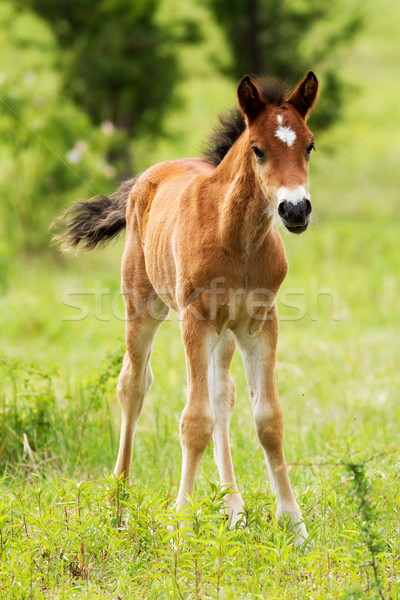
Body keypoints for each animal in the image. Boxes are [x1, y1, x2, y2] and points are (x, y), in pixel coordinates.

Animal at [55, 70, 318, 544]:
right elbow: (193, 421)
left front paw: (294, 525)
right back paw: (118, 506)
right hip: (144, 305)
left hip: (224, 334)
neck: (238, 238)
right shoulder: (194, 321)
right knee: (133, 385)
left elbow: (268, 420)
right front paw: (180, 522)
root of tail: (148, 175)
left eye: (309, 145)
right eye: (258, 149)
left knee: (221, 395)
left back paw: (233, 509)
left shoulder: (260, 323)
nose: (295, 209)